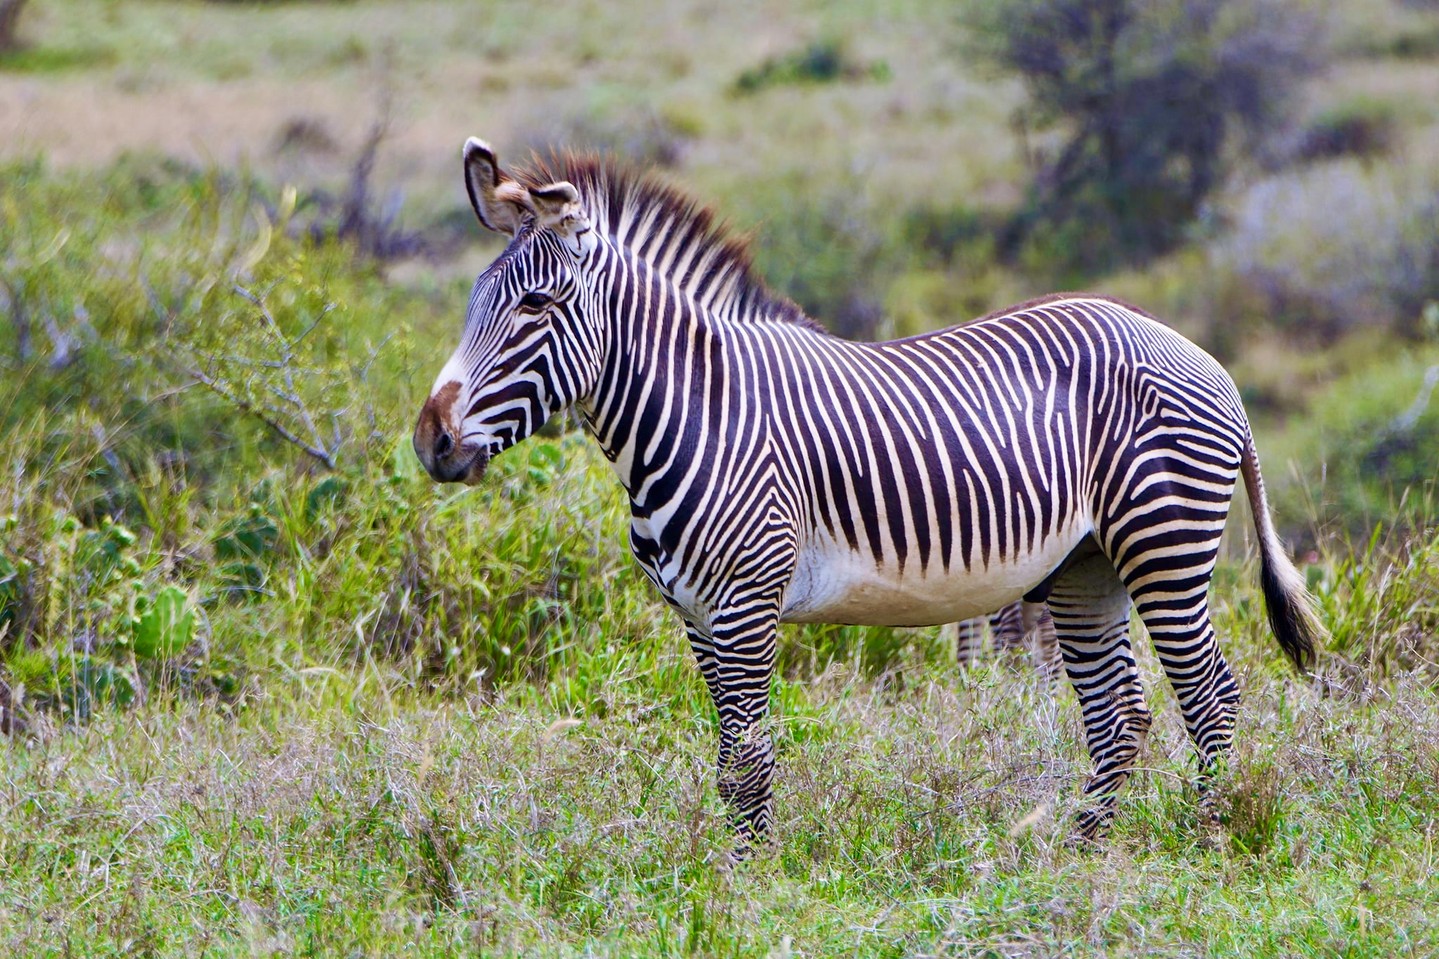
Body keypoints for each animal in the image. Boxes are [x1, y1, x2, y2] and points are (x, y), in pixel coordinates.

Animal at [413, 139, 1322, 855]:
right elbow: (726, 755)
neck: (697, 413)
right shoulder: (697, 614)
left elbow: (749, 756)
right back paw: (1079, 847)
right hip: (1084, 565)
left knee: (1209, 696)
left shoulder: (745, 602)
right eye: (473, 302)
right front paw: (731, 869)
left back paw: (1204, 836)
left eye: (534, 305)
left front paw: (746, 880)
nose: (430, 440)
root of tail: (1201, 357)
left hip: (1163, 545)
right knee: (1118, 711)